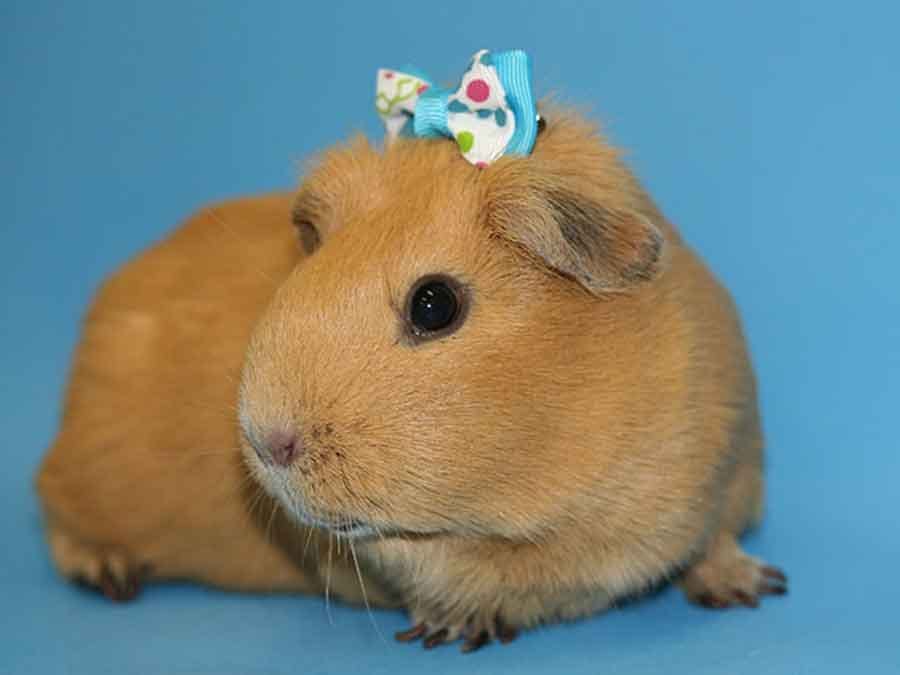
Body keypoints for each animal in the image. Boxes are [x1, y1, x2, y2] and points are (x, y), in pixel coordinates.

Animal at [36, 110, 786, 652]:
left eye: (435, 304)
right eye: (306, 273)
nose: (265, 440)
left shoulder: (730, 476)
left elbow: (714, 542)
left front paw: (754, 588)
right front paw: (446, 630)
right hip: (78, 490)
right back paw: (111, 576)